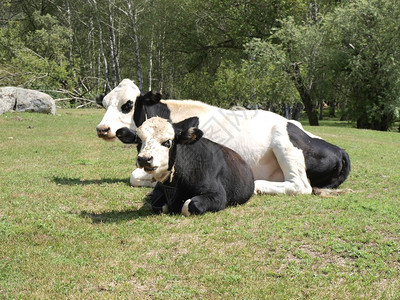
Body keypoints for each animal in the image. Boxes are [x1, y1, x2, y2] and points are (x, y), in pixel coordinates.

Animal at [97, 78, 350, 195]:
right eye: (105, 103)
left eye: (127, 104)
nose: (102, 128)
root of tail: (340, 149)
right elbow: (135, 175)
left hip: (283, 141)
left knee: (300, 185)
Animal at [116, 116, 253, 216]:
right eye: (139, 140)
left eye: (167, 142)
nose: (144, 158)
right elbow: (158, 205)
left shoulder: (219, 195)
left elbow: (189, 205)